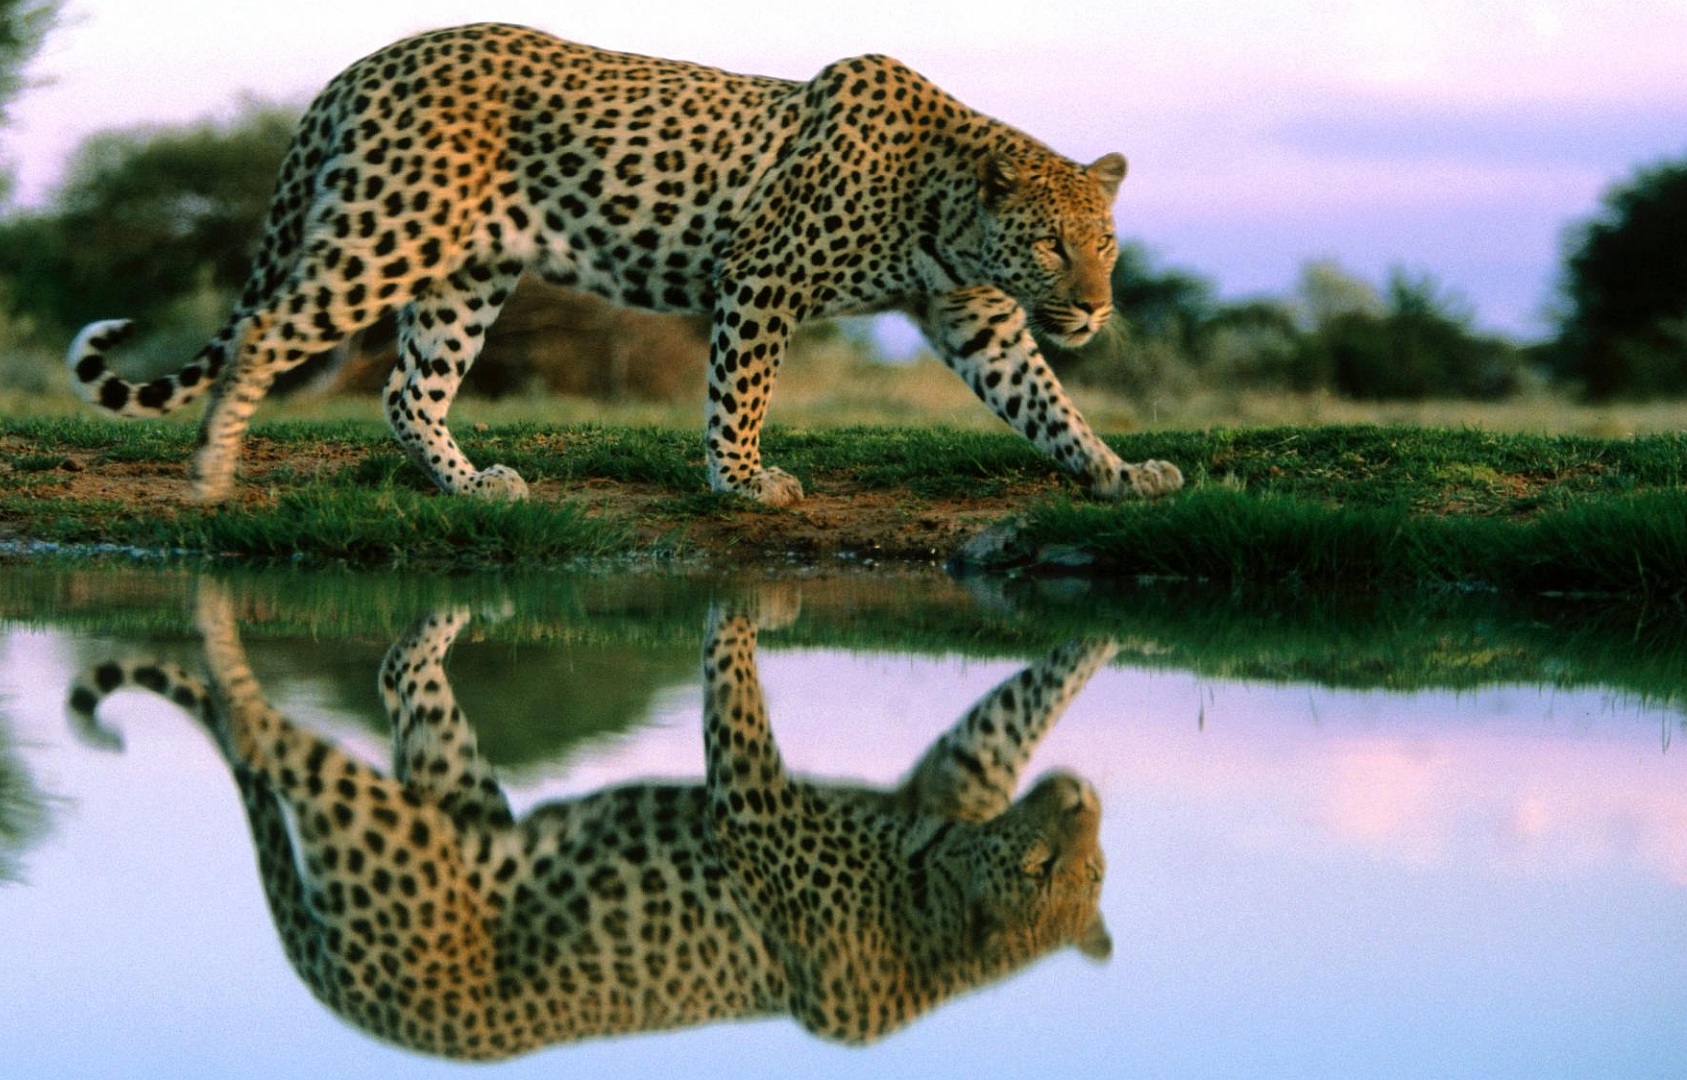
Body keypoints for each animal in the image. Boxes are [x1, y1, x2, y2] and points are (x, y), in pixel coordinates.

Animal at [65, 21, 1182, 507]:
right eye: (1048, 243)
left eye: (1106, 246)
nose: (1093, 309)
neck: (943, 204)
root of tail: (363, 64)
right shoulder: (762, 278)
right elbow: (740, 393)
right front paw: (741, 481)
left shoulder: (975, 319)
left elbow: (1045, 402)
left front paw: (1117, 471)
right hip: (387, 235)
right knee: (263, 330)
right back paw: (210, 473)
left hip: (465, 274)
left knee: (406, 389)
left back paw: (471, 487)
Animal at [68, 581, 1115, 1060]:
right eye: (1039, 868)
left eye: (1092, 871)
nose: (1083, 798)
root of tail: (356, 1006)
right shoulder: (757, 804)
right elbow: (734, 691)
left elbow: (1007, 712)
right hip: (387, 828)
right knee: (261, 729)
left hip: (429, 803)